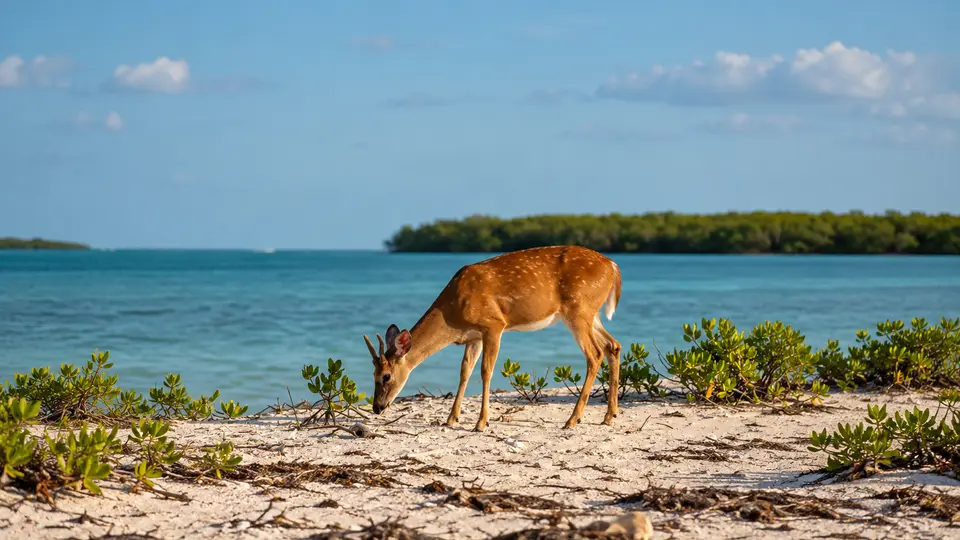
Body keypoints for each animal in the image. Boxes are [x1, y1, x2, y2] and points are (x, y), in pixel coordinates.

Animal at [362, 245, 623, 432]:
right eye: (372, 373)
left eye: (386, 376)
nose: (376, 407)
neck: (453, 313)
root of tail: (613, 267)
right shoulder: (473, 337)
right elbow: (465, 371)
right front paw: (451, 418)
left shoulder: (493, 324)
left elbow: (485, 371)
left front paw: (481, 423)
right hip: (591, 313)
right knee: (613, 346)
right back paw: (609, 415)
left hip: (578, 309)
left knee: (595, 354)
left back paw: (572, 419)